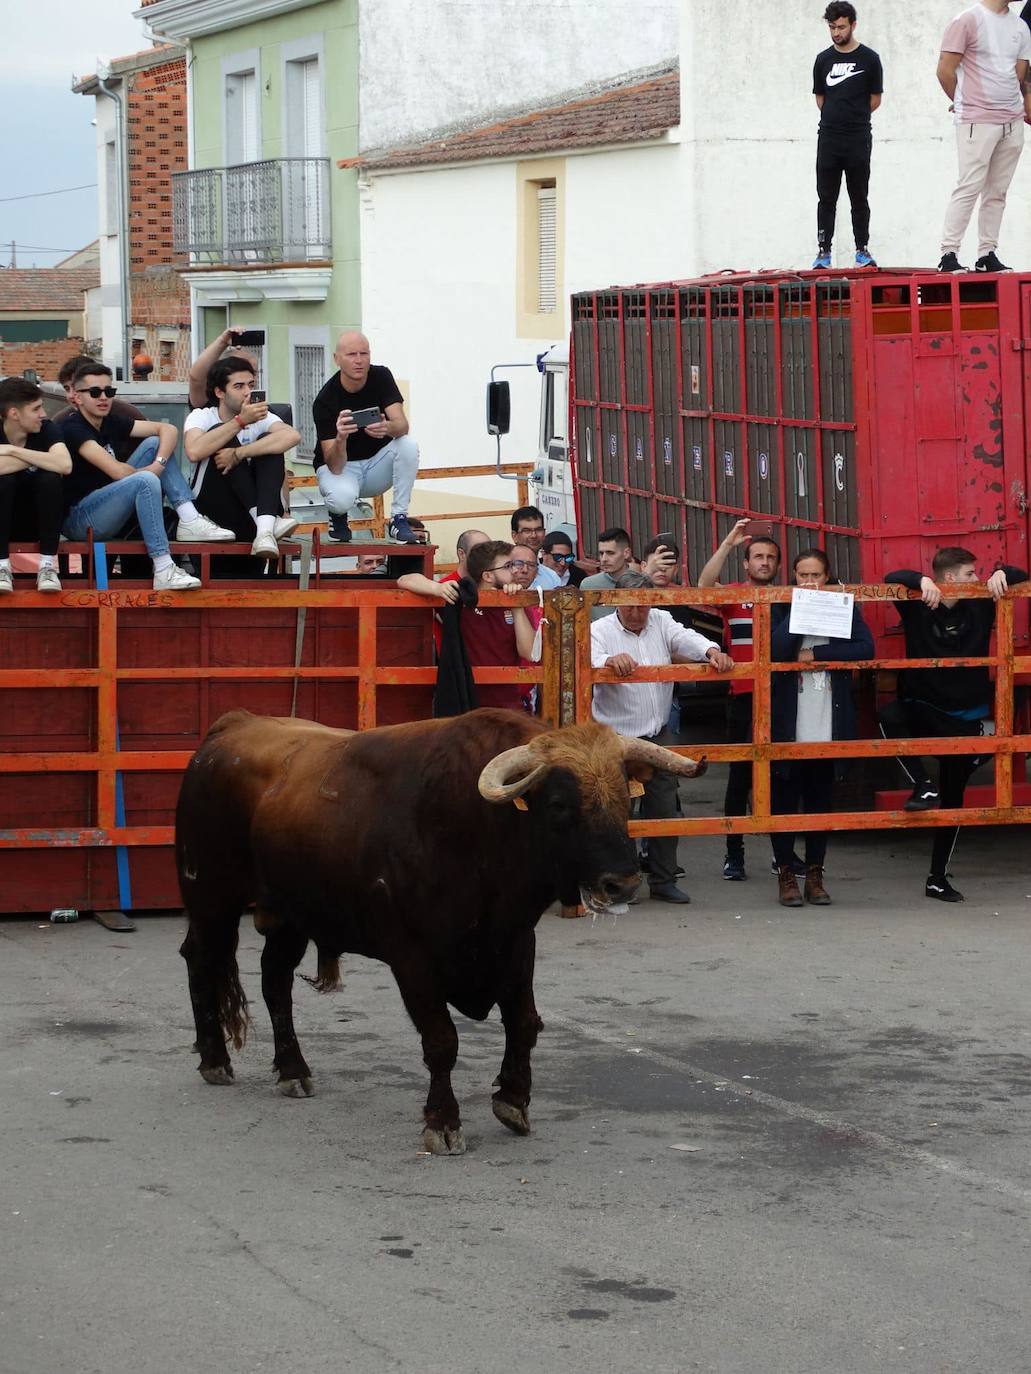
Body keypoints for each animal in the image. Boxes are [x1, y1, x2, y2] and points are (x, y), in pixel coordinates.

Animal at [180, 708, 709, 1148]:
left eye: (622, 795)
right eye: (560, 803)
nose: (621, 883)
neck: (479, 833)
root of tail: (231, 726)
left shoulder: (515, 942)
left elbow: (523, 1022)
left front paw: (513, 1101)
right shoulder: (412, 957)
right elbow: (442, 1040)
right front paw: (443, 1121)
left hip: (290, 915)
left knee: (275, 981)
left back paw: (292, 1069)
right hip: (211, 899)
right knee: (201, 959)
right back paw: (215, 1060)